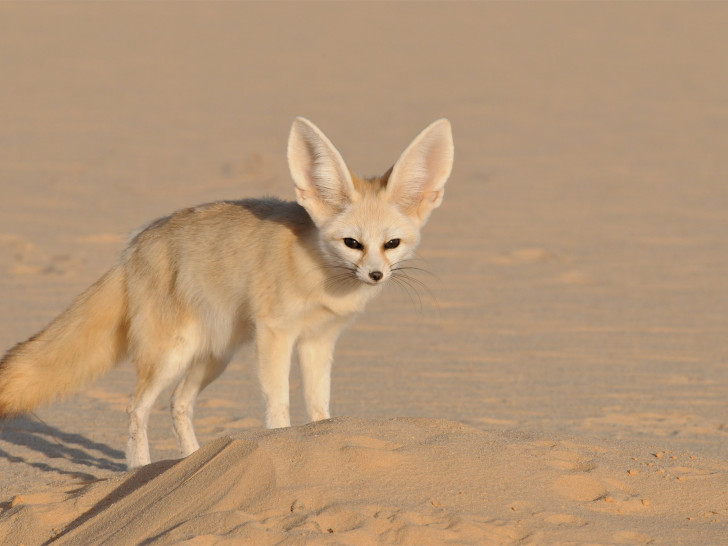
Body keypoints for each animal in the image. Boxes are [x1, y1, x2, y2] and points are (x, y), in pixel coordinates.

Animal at [0, 117, 456, 466]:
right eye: (352, 243)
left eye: (391, 244)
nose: (376, 275)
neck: (317, 269)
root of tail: (134, 245)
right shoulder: (276, 334)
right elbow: (279, 406)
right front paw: (283, 447)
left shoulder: (319, 340)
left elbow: (319, 410)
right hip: (172, 354)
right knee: (137, 409)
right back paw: (139, 470)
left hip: (214, 356)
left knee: (178, 405)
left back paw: (187, 463)